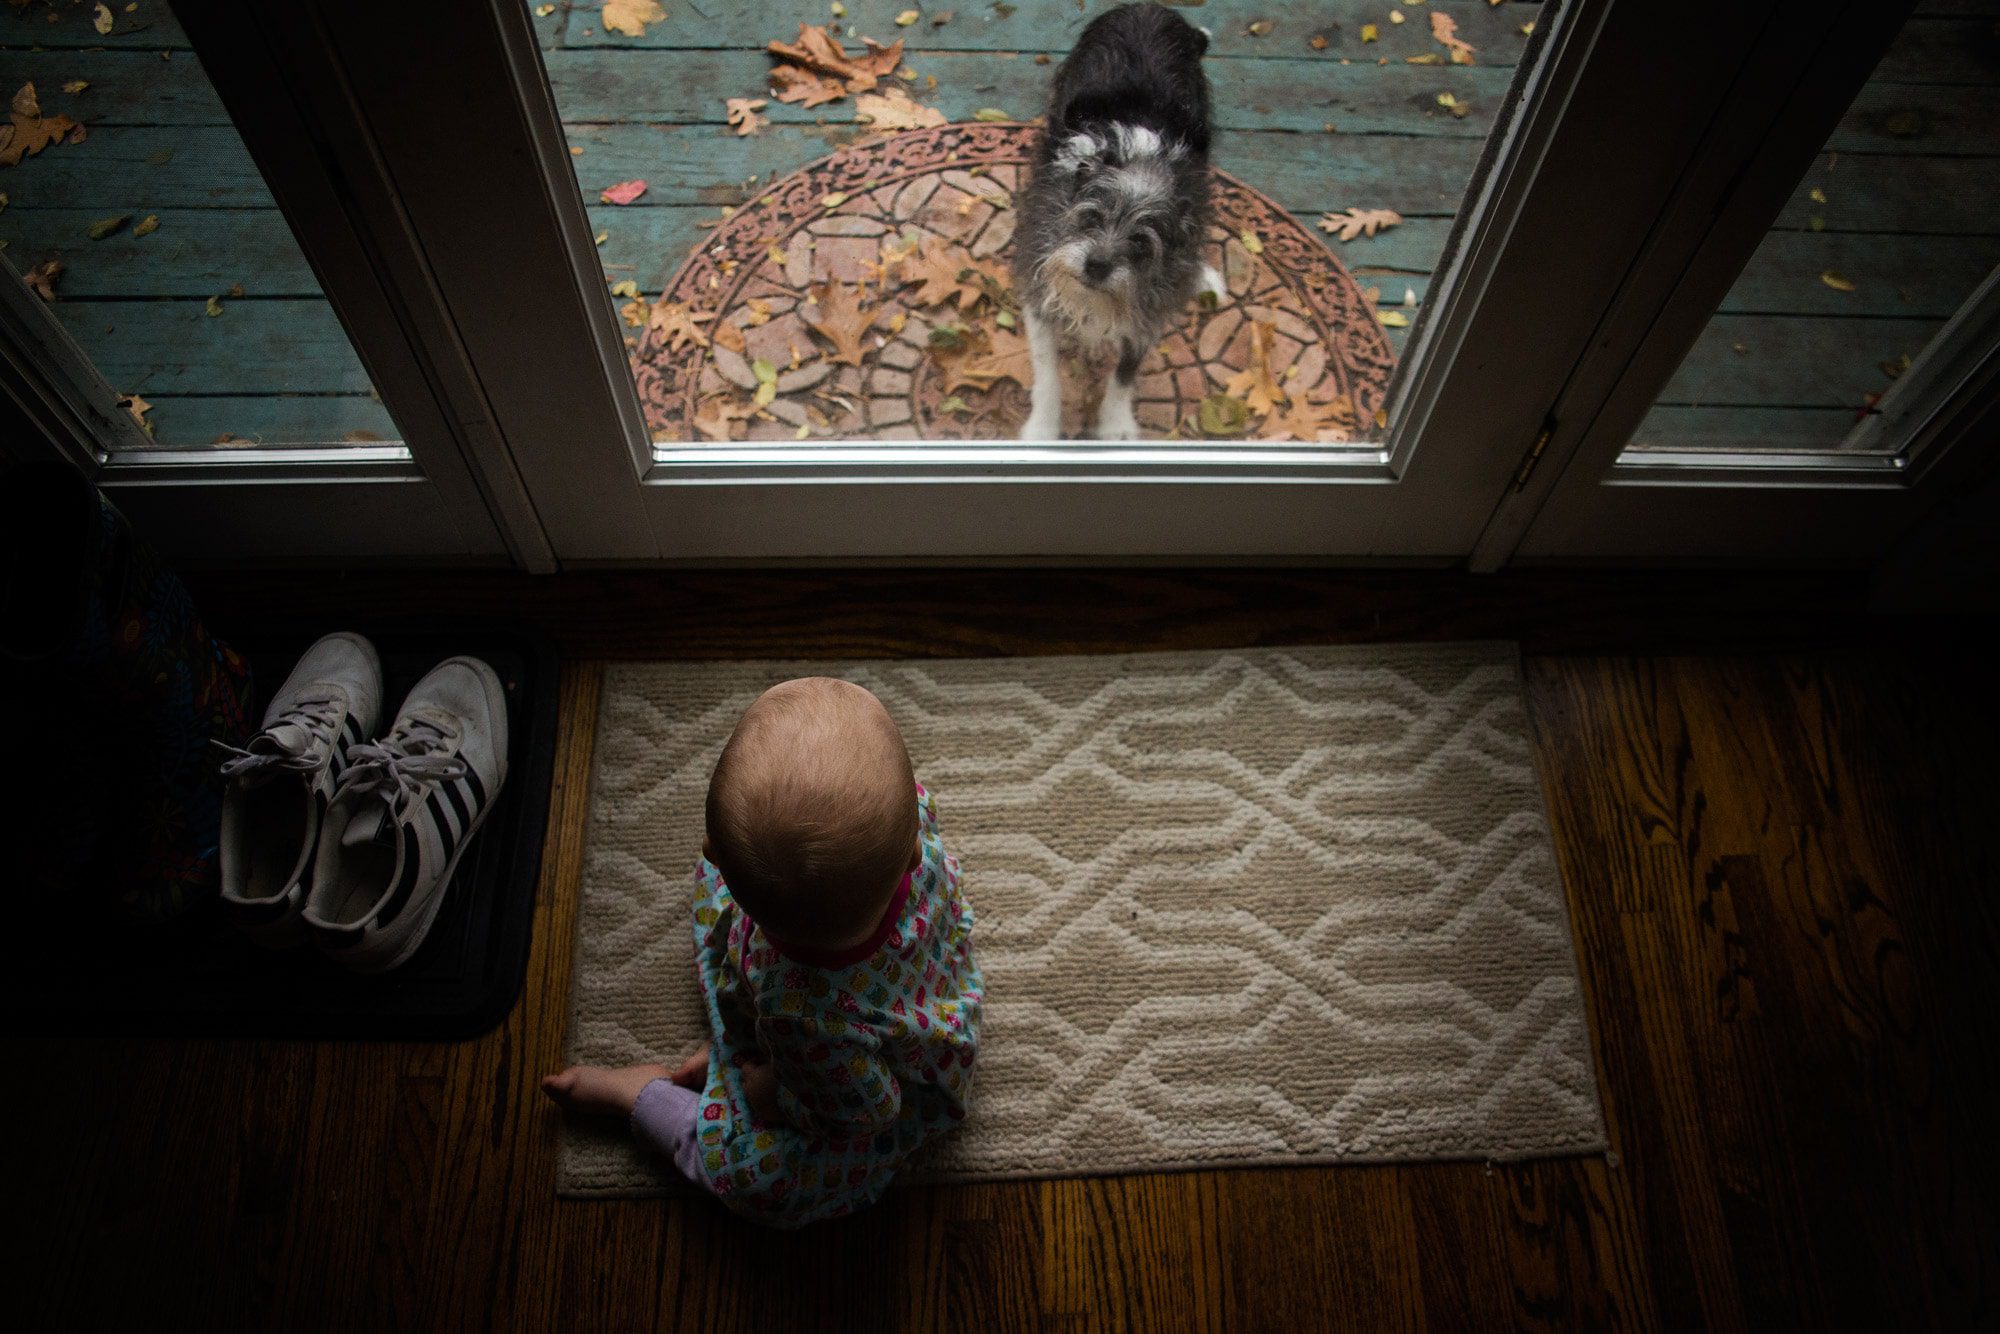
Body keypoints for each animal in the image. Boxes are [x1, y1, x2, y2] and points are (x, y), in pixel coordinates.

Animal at [1016, 0, 1216, 438]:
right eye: (1091, 216)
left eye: (1141, 242)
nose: (1096, 265)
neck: (1139, 156)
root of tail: (1151, 8)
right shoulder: (1037, 290)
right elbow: (1047, 371)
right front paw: (1042, 429)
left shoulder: (1151, 310)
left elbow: (1125, 374)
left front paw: (1117, 426)